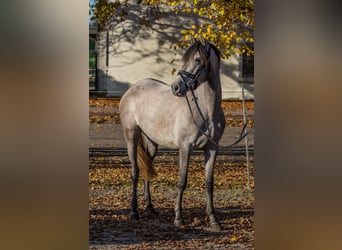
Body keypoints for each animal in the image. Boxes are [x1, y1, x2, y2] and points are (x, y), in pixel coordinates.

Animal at [119, 40, 226, 230]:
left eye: (197, 60)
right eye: (185, 60)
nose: (176, 87)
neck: (206, 111)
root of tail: (132, 89)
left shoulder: (212, 149)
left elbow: (209, 183)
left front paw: (214, 220)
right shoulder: (185, 148)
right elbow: (182, 181)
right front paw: (178, 218)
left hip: (152, 143)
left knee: (147, 170)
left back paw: (150, 208)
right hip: (131, 136)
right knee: (135, 172)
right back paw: (134, 212)